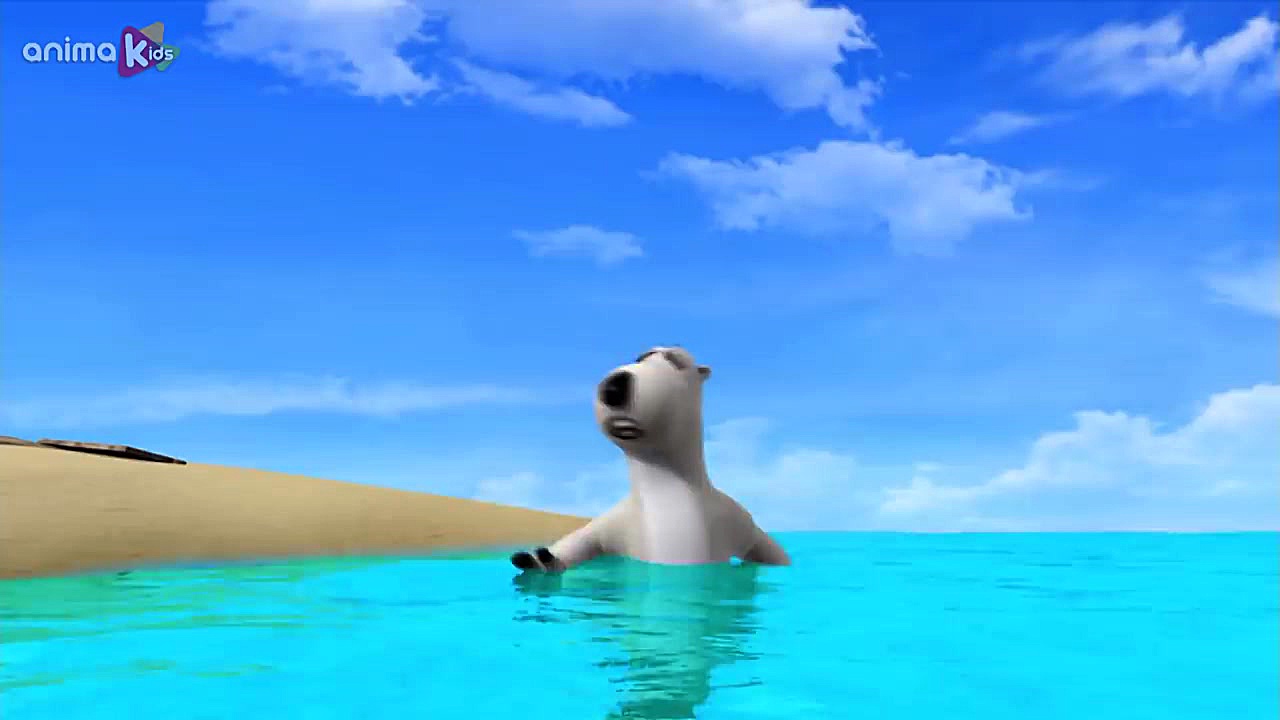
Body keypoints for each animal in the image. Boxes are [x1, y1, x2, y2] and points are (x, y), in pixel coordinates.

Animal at [511, 346, 790, 572]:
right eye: (641, 357)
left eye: (675, 360)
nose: (614, 387)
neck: (664, 482)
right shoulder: (619, 523)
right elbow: (586, 539)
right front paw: (539, 560)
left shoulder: (734, 518)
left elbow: (766, 547)